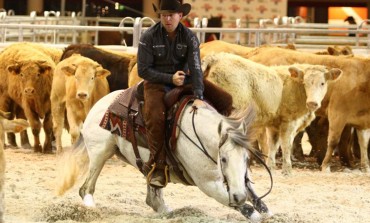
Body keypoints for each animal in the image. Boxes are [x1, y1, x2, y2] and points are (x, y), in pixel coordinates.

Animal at [201, 51, 342, 175]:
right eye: (305, 83)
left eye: (322, 83)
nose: (312, 103)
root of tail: (215, 58)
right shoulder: (288, 123)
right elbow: (286, 145)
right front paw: (287, 170)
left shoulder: (274, 125)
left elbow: (273, 145)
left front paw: (271, 167)